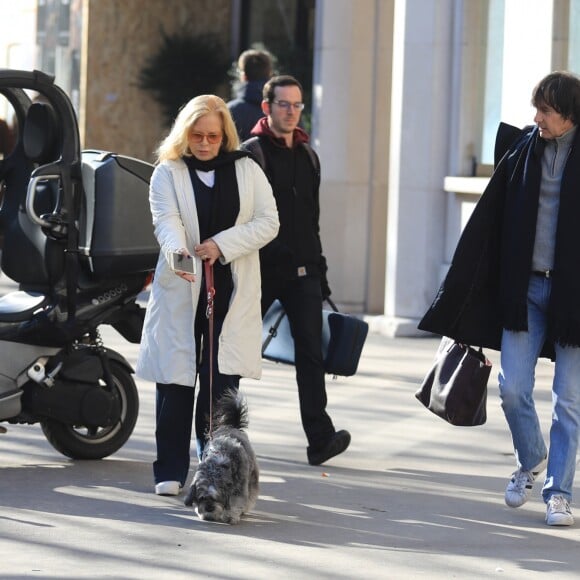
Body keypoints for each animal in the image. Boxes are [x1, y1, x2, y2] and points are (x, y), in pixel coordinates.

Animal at [185, 392, 260, 524]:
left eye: (216, 497)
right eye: (202, 497)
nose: (209, 508)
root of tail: (232, 426)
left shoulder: (238, 488)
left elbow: (235, 501)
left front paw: (230, 515)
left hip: (251, 478)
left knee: (250, 494)